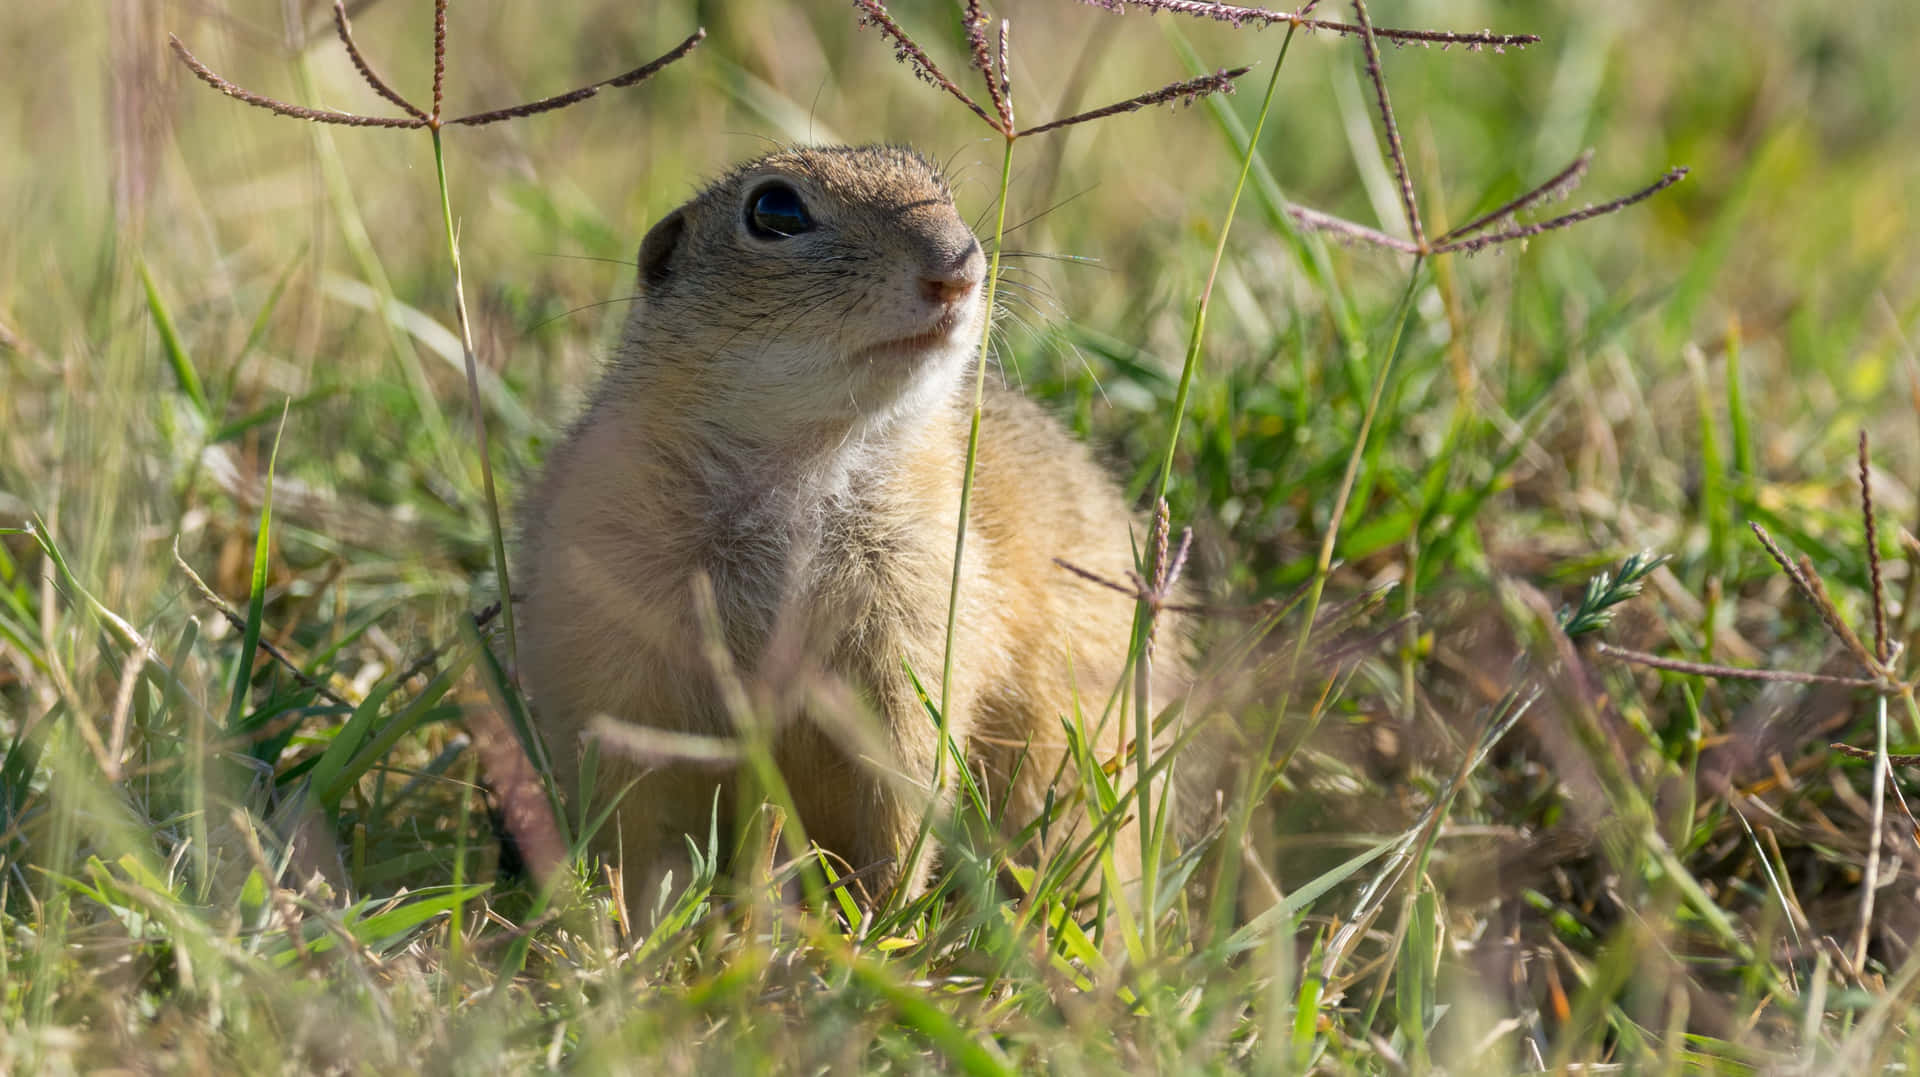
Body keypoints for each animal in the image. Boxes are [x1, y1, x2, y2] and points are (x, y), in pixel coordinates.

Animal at [518, 144, 1190, 925]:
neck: (808, 467)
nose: (958, 266)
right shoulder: (614, 634)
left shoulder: (918, 628)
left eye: (939, 185)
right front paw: (631, 921)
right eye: (774, 210)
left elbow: (903, 785)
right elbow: (634, 811)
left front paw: (876, 918)